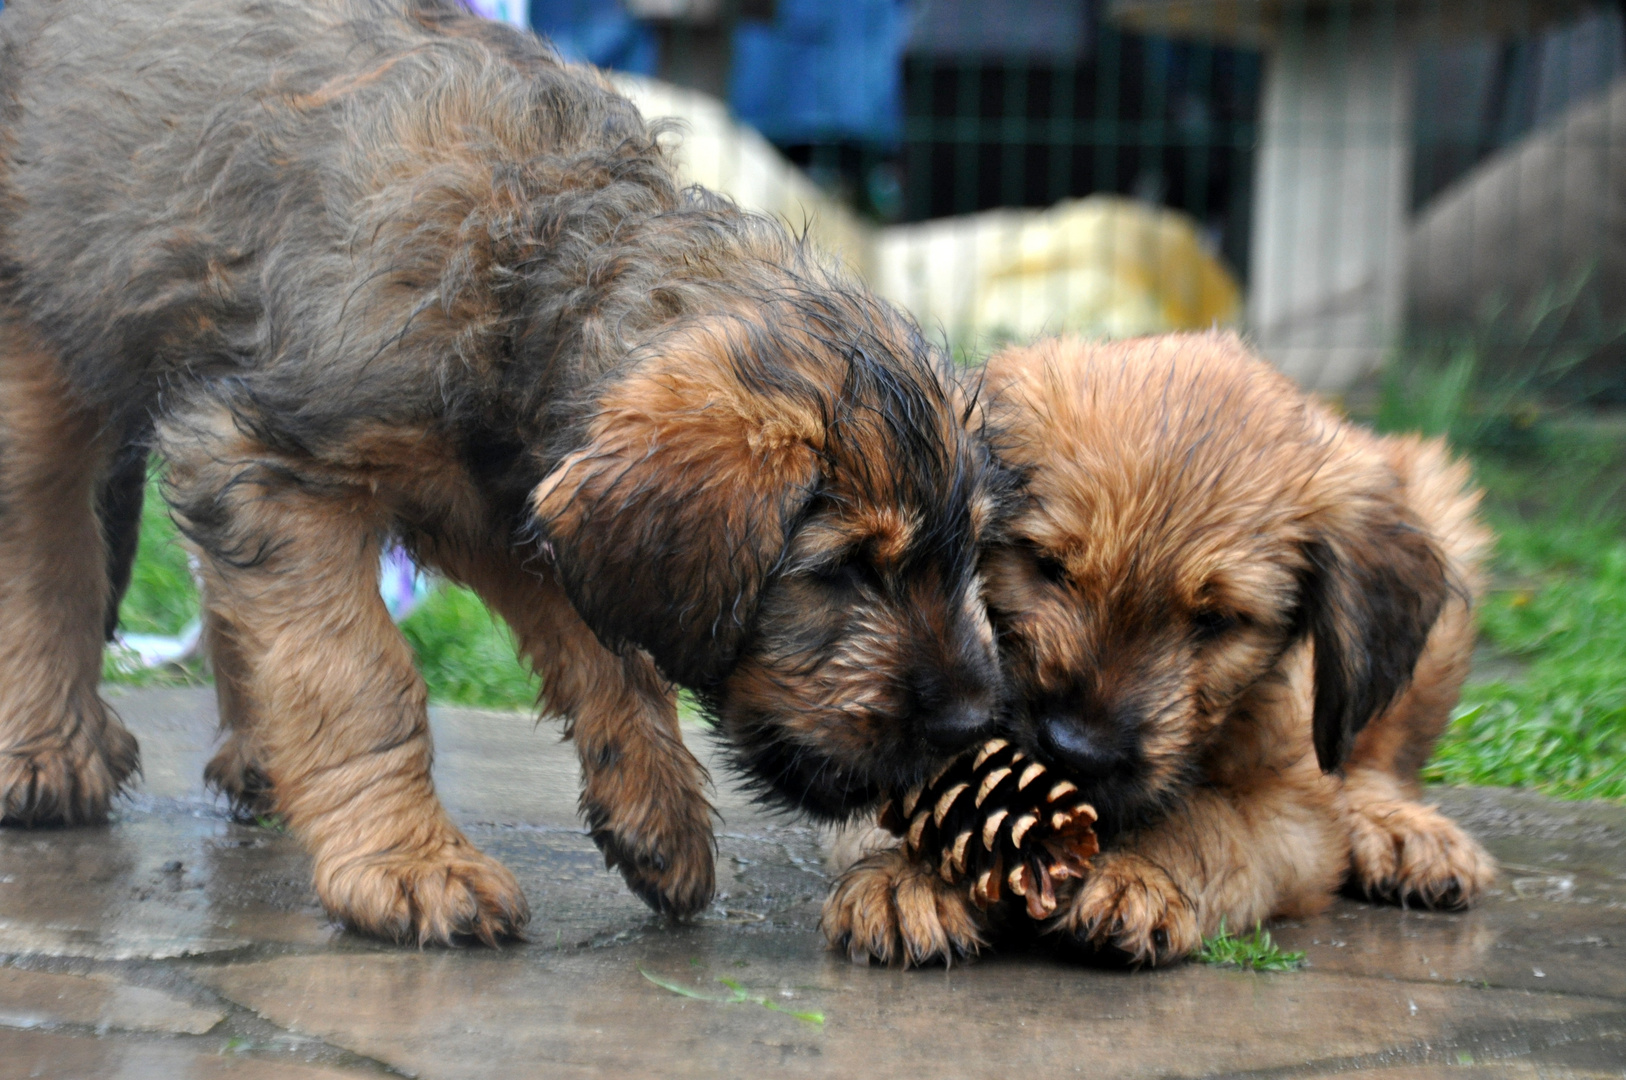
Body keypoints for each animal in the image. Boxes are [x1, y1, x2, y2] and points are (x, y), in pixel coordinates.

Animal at [0, 0, 1001, 943]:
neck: (535, 251)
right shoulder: (275, 463)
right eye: (842, 570)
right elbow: (357, 677)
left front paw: (657, 809)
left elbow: (600, 644)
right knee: (48, 541)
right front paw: (407, 863)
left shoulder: (507, 501)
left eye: (968, 557)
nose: (971, 723)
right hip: (43, 354)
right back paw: (46, 749)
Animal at [826, 333, 1495, 962]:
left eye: (1217, 619)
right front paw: (906, 875)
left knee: (1383, 760)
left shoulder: (1293, 813)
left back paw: (1401, 829)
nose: (1075, 751)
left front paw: (1135, 873)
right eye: (1046, 564)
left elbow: (1207, 822)